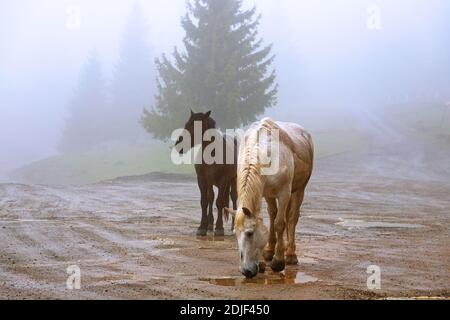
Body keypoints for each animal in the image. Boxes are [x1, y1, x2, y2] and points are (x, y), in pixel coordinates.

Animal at [225, 117, 312, 278]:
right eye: (235, 234)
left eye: (249, 233)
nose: (246, 271)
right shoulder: (262, 192)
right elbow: (267, 220)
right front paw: (262, 263)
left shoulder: (284, 193)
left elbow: (279, 223)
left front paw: (278, 262)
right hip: (270, 195)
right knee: (273, 214)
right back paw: (269, 252)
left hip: (299, 190)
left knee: (291, 218)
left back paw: (290, 255)